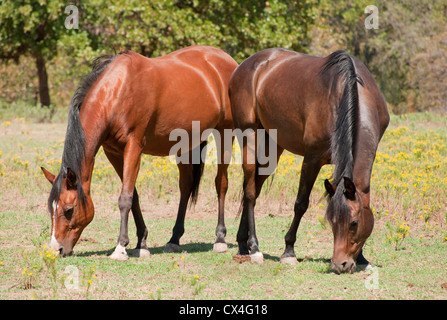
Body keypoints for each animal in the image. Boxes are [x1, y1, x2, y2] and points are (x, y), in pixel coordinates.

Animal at [40, 45, 240, 260]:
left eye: (69, 209)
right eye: (51, 209)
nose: (56, 249)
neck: (117, 91)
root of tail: (227, 60)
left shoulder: (133, 147)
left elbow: (125, 198)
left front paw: (120, 247)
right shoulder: (113, 152)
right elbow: (133, 195)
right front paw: (141, 243)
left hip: (225, 133)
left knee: (221, 183)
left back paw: (220, 239)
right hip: (186, 143)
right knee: (185, 186)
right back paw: (174, 240)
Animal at [229, 48, 390, 274]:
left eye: (354, 223)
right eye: (332, 222)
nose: (339, 265)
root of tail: (245, 65)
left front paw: (362, 258)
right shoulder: (312, 159)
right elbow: (301, 203)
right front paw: (288, 252)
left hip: (272, 145)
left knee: (253, 187)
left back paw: (243, 244)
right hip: (248, 135)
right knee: (250, 192)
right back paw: (254, 247)